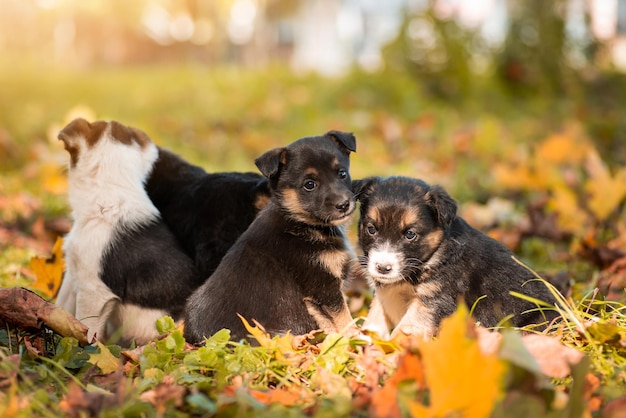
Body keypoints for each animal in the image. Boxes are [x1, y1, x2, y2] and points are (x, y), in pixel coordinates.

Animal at [183, 131, 358, 342]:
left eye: (342, 174)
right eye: (309, 185)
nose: (344, 204)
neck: (299, 222)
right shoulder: (323, 288)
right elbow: (344, 320)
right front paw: (359, 339)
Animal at [352, 176, 556, 340]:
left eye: (410, 234)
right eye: (371, 229)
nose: (382, 268)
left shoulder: (432, 301)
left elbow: (403, 331)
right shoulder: (384, 296)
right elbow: (374, 321)